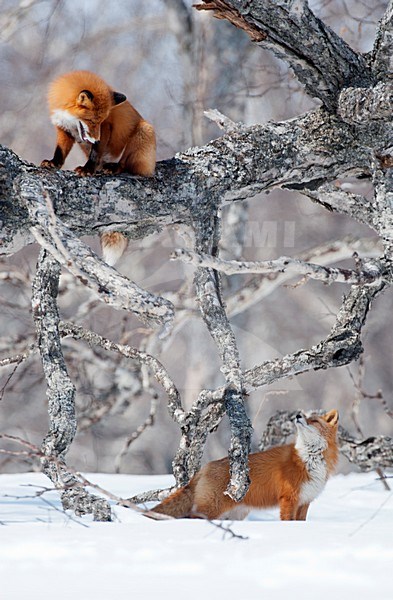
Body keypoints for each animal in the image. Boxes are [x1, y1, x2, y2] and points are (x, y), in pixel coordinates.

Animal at [40, 69, 155, 264]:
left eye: (100, 121)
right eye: (91, 120)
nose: (95, 139)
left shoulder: (107, 127)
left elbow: (95, 155)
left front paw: (87, 170)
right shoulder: (63, 129)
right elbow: (60, 152)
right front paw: (53, 163)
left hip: (144, 130)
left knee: (126, 165)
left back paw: (113, 167)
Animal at [152, 408, 338, 520]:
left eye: (314, 421)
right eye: (306, 417)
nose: (298, 415)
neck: (308, 460)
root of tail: (205, 467)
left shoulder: (305, 501)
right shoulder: (288, 499)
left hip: (233, 514)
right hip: (210, 509)